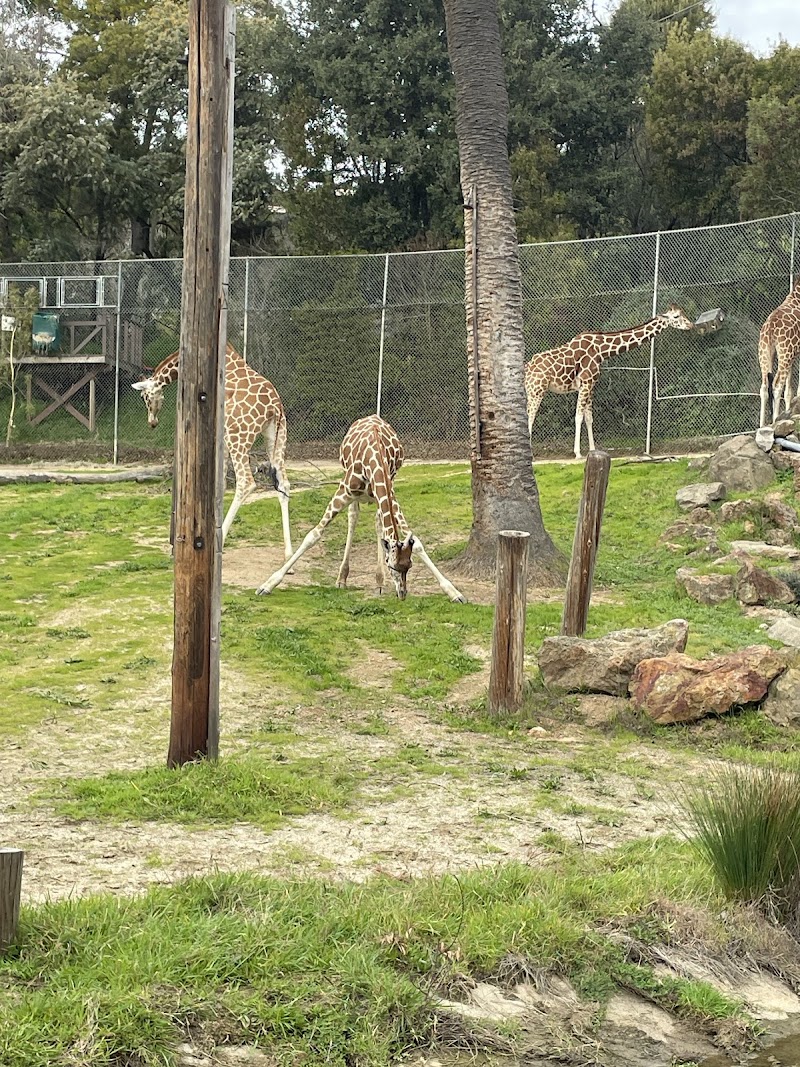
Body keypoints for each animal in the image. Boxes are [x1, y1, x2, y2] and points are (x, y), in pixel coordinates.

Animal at [132, 343, 292, 554]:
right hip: (276, 436)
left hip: (238, 436)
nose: (152, 422)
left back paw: (221, 539)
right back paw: (289, 553)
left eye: (144, 396)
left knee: (246, 482)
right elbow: (220, 485)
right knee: (284, 484)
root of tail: (275, 407)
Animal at [255, 414, 465, 602]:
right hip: (351, 489)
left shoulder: (389, 492)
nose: (402, 594)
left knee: (377, 522)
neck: (374, 460)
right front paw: (267, 585)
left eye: (409, 566)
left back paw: (379, 582)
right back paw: (342, 579)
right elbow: (313, 535)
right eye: (393, 566)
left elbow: (417, 543)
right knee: (353, 516)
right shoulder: (344, 490)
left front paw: (454, 592)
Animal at [524, 305, 695, 459]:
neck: (602, 350)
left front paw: (592, 450)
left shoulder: (590, 385)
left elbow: (589, 418)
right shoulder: (586, 383)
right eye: (676, 316)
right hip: (537, 391)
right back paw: (530, 454)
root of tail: (526, 370)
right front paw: (578, 453)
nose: (691, 325)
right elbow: (578, 417)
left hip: (531, 392)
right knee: (529, 418)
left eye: (683, 313)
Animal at [758, 279, 800, 426]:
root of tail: (770, 326)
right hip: (784, 353)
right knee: (776, 385)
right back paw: (776, 420)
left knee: (764, 387)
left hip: (765, 352)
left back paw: (762, 426)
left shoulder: (793, 356)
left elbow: (789, 392)